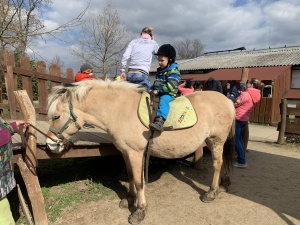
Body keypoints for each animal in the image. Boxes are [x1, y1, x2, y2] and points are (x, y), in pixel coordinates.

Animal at [45, 80, 236, 224]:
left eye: (56, 116)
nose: (50, 144)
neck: (120, 111)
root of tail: (228, 101)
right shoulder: (125, 152)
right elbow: (130, 175)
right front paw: (129, 199)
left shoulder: (136, 153)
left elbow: (138, 181)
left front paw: (139, 211)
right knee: (223, 163)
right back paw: (223, 185)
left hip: (216, 140)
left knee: (217, 163)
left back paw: (211, 192)